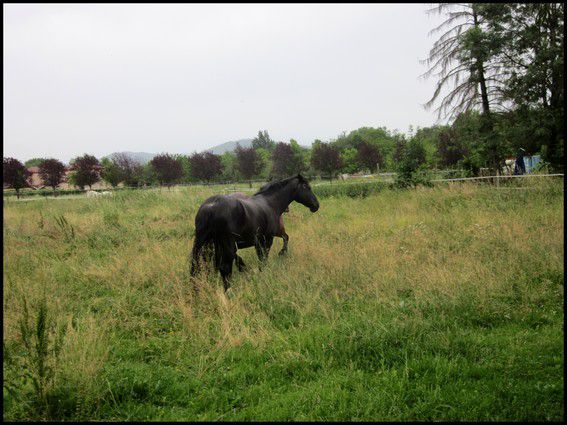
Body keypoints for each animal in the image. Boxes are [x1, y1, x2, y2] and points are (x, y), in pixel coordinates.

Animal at [190, 174, 320, 291]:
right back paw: (229, 291)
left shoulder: (259, 241)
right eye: (306, 187)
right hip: (227, 245)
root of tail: (210, 207)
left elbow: (261, 256)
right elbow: (266, 256)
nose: (316, 205)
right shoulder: (268, 238)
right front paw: (278, 256)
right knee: (224, 268)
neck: (270, 203)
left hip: (206, 244)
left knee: (196, 266)